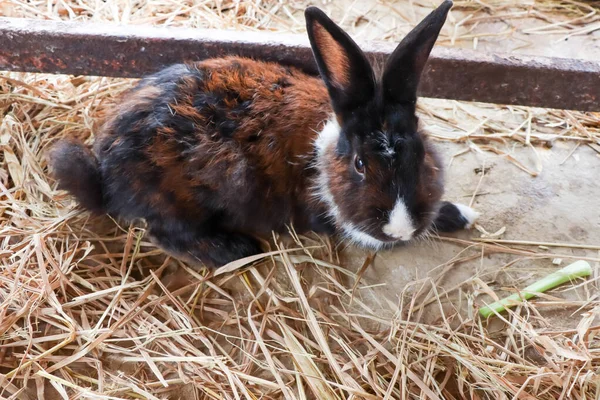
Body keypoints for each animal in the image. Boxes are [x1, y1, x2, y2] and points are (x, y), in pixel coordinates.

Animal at [49, 0, 478, 268]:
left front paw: (459, 214)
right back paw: (235, 249)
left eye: (421, 154)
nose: (399, 228)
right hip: (177, 199)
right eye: (359, 164)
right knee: (166, 233)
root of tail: (104, 175)